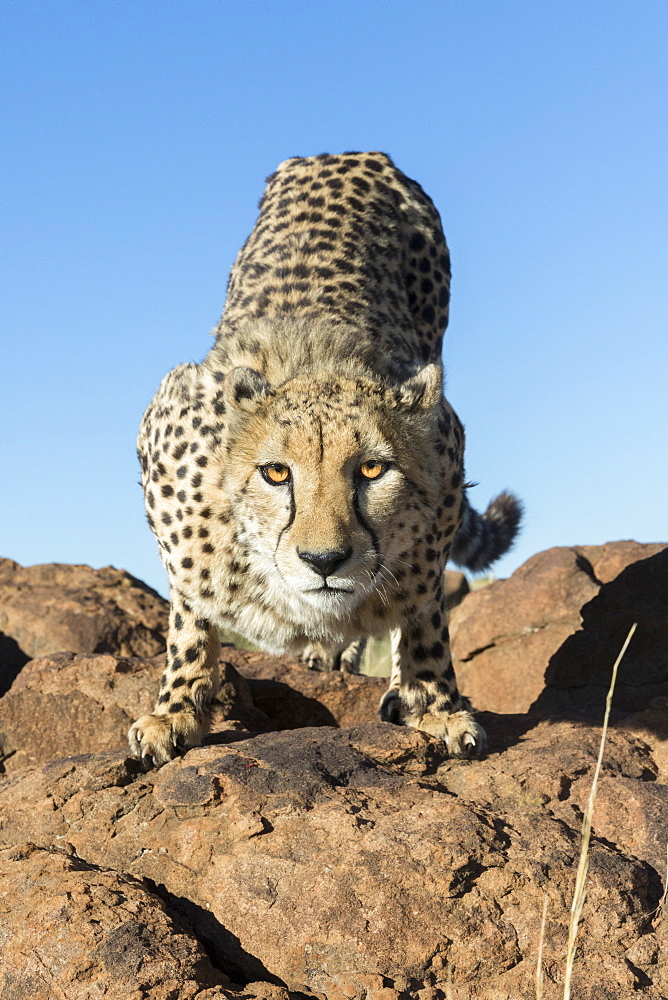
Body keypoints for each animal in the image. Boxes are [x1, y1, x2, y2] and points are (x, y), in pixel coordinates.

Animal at [128, 152, 520, 764]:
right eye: (276, 473)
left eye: (372, 469)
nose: (324, 560)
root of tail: (353, 150)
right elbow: (190, 611)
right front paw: (175, 711)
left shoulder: (446, 453)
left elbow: (425, 606)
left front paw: (434, 705)